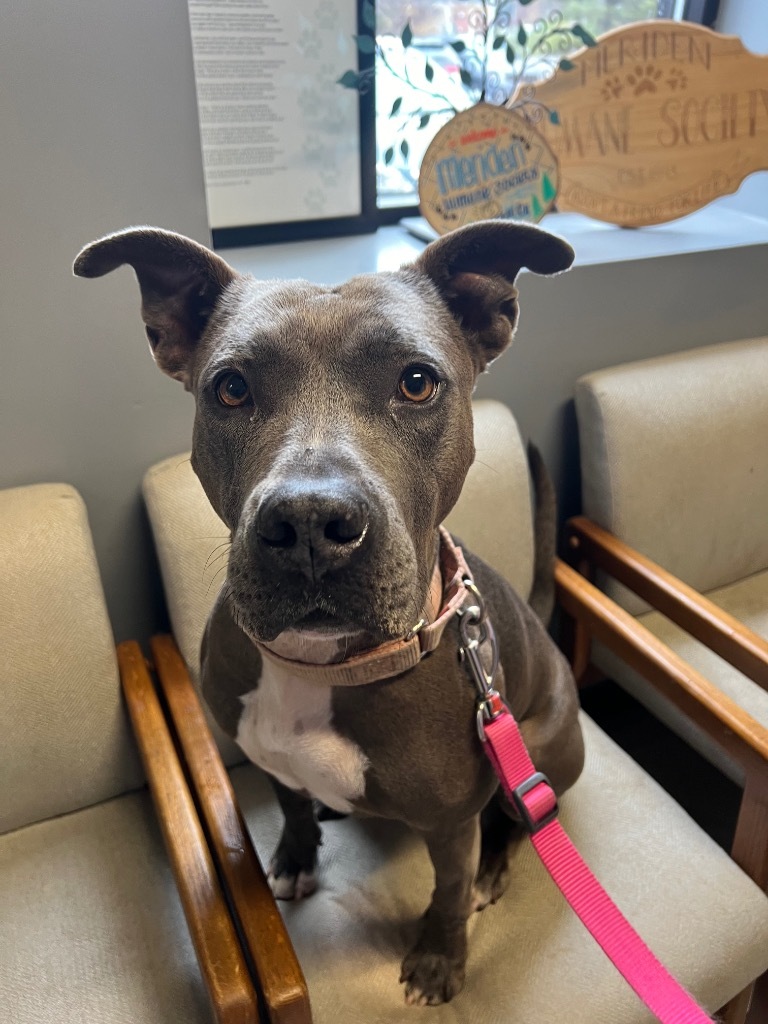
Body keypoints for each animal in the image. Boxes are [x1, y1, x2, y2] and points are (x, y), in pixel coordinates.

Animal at [75, 224, 585, 1007]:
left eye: (416, 381)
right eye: (230, 388)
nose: (310, 523)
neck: (320, 666)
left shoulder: (449, 823)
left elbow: (447, 886)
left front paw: (439, 958)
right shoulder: (266, 754)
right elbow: (288, 801)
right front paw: (294, 854)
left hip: (544, 740)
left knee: (524, 809)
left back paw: (496, 865)